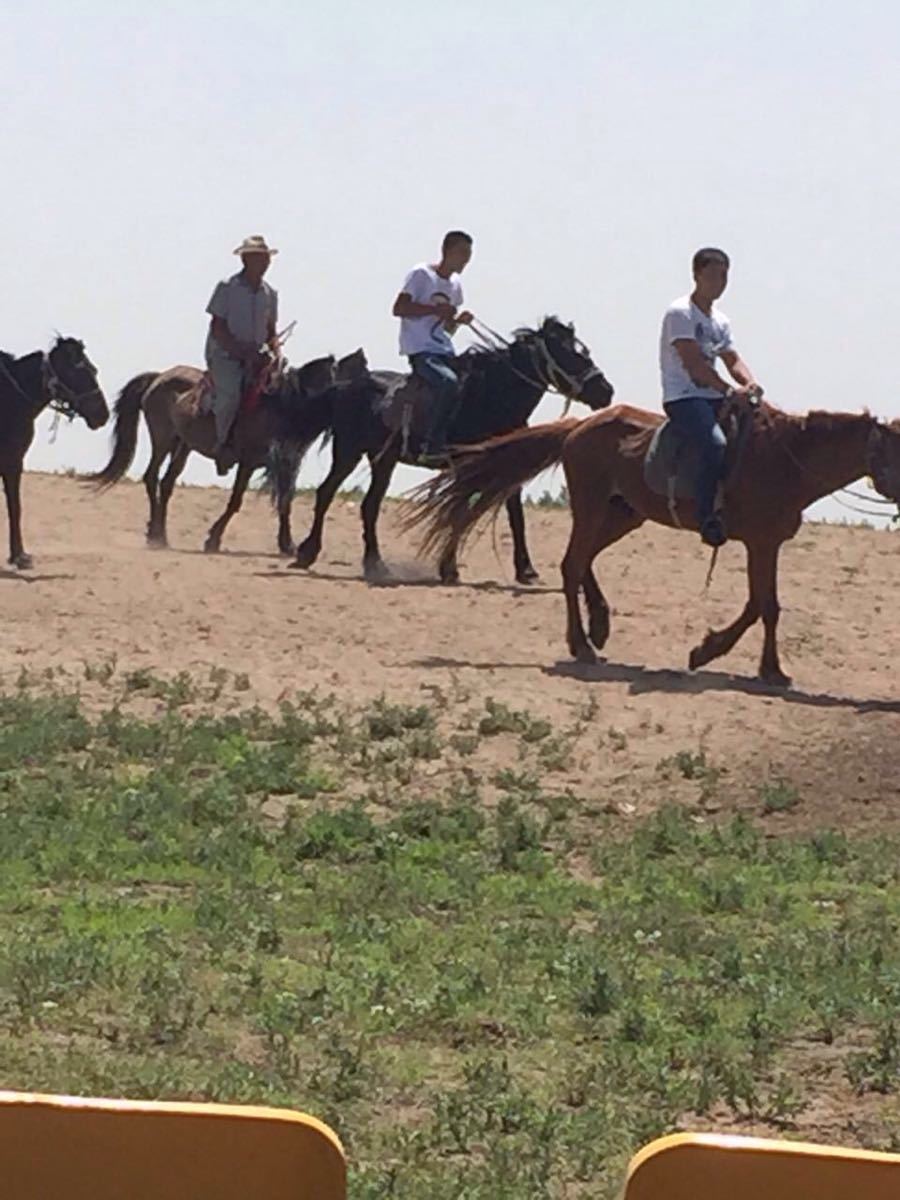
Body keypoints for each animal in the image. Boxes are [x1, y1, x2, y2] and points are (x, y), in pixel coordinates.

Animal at [0, 333, 109, 566]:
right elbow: (15, 507)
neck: (11, 399)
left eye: (93, 369)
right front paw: (18, 556)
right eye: (77, 370)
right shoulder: (13, 462)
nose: (102, 414)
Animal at [91, 350, 338, 549]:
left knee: (167, 483)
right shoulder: (248, 463)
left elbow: (285, 501)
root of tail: (159, 377)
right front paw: (213, 539)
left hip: (184, 446)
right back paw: (156, 535)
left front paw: (287, 544)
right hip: (163, 440)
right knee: (152, 477)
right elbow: (236, 501)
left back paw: (160, 533)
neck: (280, 407)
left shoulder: (287, 467)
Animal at [267, 316, 619, 583]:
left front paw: (526, 570)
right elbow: (459, 514)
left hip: (383, 460)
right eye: (570, 354)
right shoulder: (466, 469)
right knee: (327, 493)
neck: (489, 397)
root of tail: (343, 387)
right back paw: (308, 553)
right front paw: (448, 568)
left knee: (369, 506)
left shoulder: (505, 466)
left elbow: (514, 517)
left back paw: (374, 564)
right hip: (348, 451)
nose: (606, 391)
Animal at [408, 403, 900, 686]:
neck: (786, 460)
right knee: (572, 564)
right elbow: (765, 607)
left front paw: (728, 656)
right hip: (593, 507)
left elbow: (761, 605)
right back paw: (583, 645)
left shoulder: (768, 544)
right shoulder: (760, 544)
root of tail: (580, 425)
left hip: (624, 513)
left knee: (583, 561)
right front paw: (746, 662)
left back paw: (598, 624)